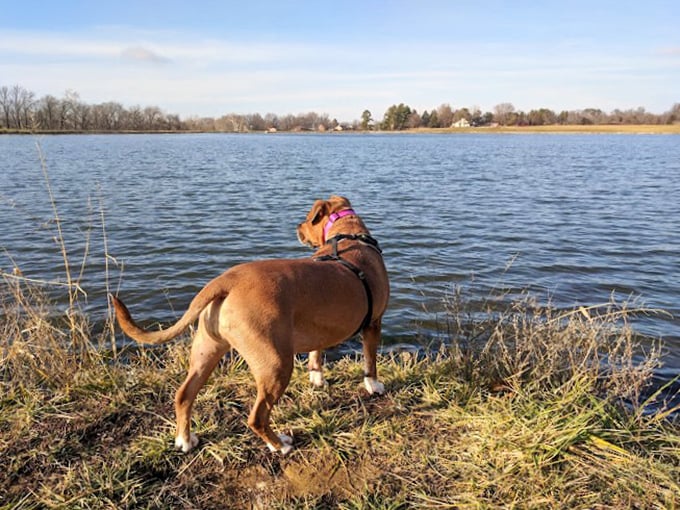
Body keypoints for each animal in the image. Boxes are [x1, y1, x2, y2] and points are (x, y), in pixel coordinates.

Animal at [111, 195, 388, 454]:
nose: (297, 226)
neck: (348, 235)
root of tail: (227, 281)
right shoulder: (373, 325)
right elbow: (370, 361)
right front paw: (373, 385)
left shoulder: (319, 329)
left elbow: (316, 354)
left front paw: (317, 378)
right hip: (276, 365)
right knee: (256, 417)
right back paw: (279, 444)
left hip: (206, 351)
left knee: (184, 395)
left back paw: (185, 440)